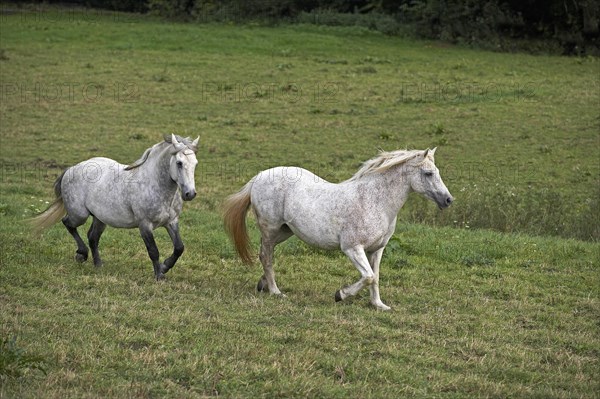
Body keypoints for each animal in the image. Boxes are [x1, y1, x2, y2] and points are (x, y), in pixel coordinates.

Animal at [32, 136, 199, 280]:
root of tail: (72, 168)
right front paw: (159, 275)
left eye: (195, 163)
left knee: (92, 237)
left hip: (100, 218)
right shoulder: (145, 225)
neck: (154, 185)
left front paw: (165, 267)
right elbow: (153, 251)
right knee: (68, 223)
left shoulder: (171, 222)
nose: (190, 194)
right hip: (79, 215)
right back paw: (82, 254)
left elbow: (179, 248)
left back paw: (98, 264)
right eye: (179, 163)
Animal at [225, 148, 454, 310]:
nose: (448, 200)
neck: (375, 201)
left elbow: (375, 276)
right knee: (266, 256)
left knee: (265, 253)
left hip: (284, 231)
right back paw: (275, 291)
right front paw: (340, 295)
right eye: (428, 173)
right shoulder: (352, 248)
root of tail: (260, 176)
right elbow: (368, 276)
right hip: (271, 228)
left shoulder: (377, 249)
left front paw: (378, 305)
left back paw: (262, 285)